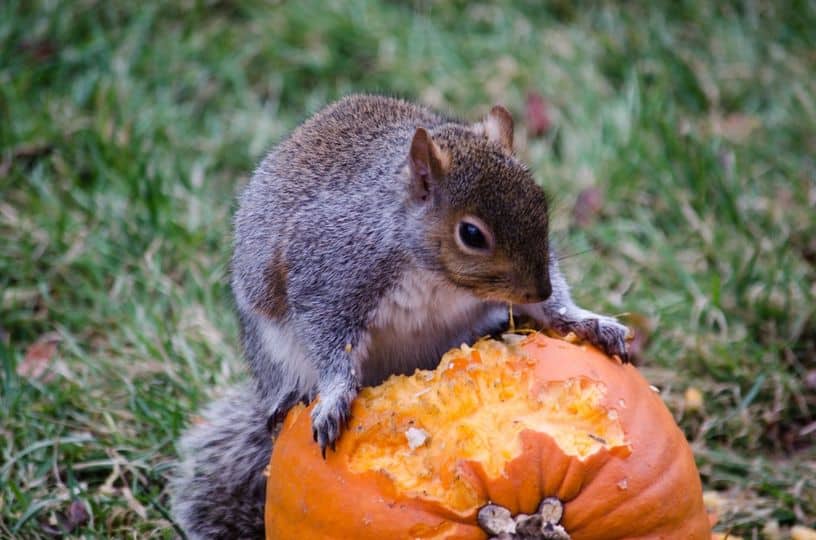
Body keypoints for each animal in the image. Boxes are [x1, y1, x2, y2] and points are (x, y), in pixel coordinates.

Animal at [171, 95, 630, 539]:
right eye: (471, 234)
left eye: (541, 204)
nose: (539, 290)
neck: (433, 272)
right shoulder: (329, 274)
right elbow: (327, 336)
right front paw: (335, 396)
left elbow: (556, 309)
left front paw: (585, 320)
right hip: (272, 349)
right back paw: (290, 398)